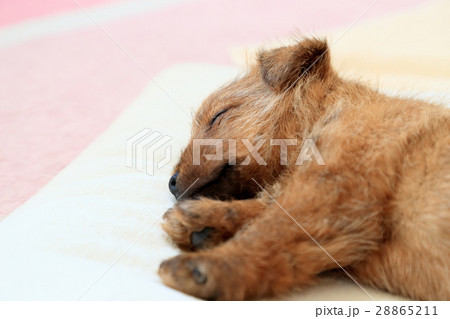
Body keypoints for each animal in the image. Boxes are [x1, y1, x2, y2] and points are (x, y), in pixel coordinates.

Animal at [158, 38, 450, 302]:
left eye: (219, 115)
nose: (171, 182)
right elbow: (267, 213)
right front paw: (206, 217)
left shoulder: (335, 185)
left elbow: (270, 229)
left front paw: (213, 264)